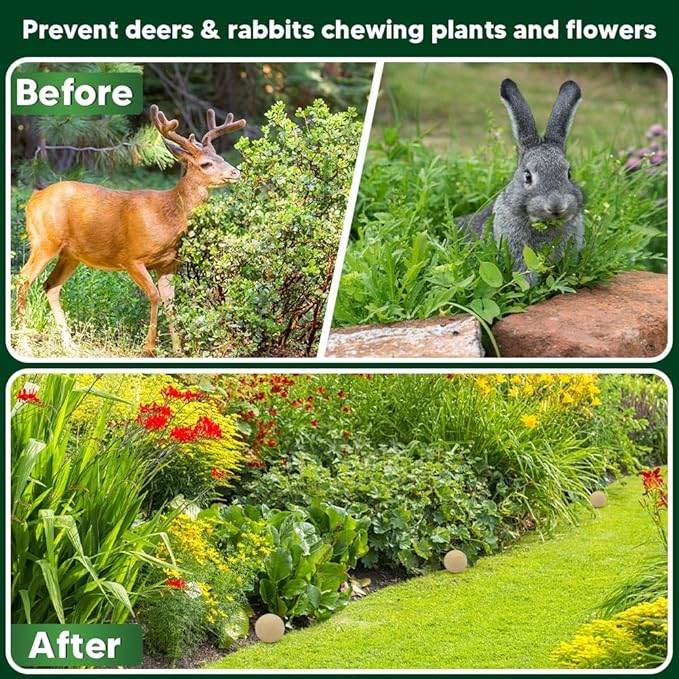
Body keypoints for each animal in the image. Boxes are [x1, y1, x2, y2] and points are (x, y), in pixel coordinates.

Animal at [14, 104, 246, 357]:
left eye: (221, 157)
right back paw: (24, 343)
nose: (236, 172)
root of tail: (33, 198)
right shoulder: (131, 257)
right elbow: (154, 295)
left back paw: (70, 345)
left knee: (50, 285)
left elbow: (170, 303)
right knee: (22, 278)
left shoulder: (169, 263)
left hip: (70, 254)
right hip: (45, 241)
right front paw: (149, 348)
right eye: (206, 164)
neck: (168, 215)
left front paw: (178, 350)